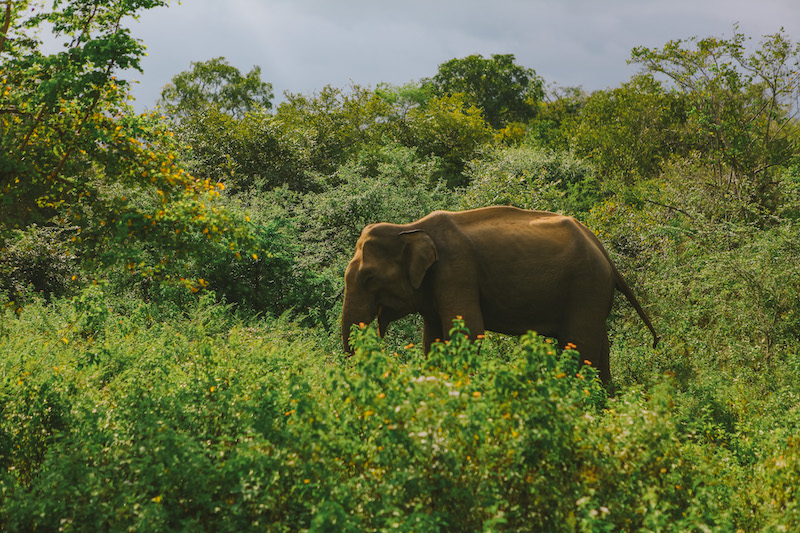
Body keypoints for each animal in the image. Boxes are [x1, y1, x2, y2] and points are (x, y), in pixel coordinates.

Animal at [340, 206, 660, 384]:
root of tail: (603, 252)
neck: (409, 228)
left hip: (586, 286)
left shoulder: (456, 271)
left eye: (369, 278)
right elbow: (433, 340)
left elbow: (468, 333)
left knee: (581, 346)